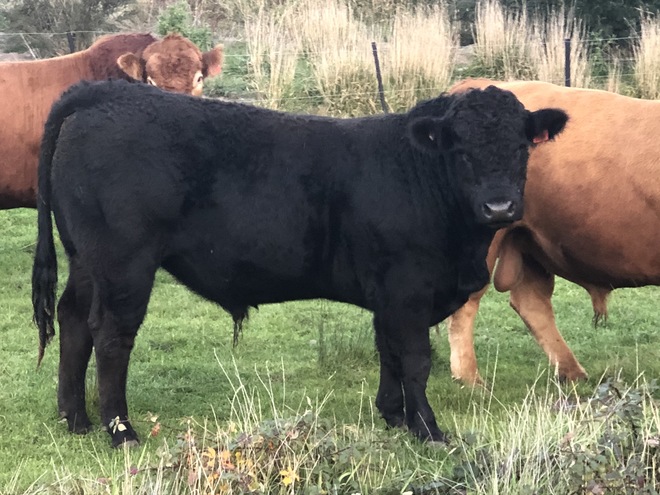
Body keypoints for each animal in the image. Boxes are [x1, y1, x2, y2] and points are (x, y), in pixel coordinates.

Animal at [31, 79, 567, 447]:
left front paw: (393, 416)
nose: (499, 207)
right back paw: (120, 430)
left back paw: (74, 418)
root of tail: (102, 92)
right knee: (111, 335)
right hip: (123, 264)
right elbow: (415, 359)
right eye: (461, 150)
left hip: (85, 260)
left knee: (73, 319)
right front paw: (428, 429)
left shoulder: (388, 295)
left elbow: (388, 352)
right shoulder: (407, 289)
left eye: (521, 147)